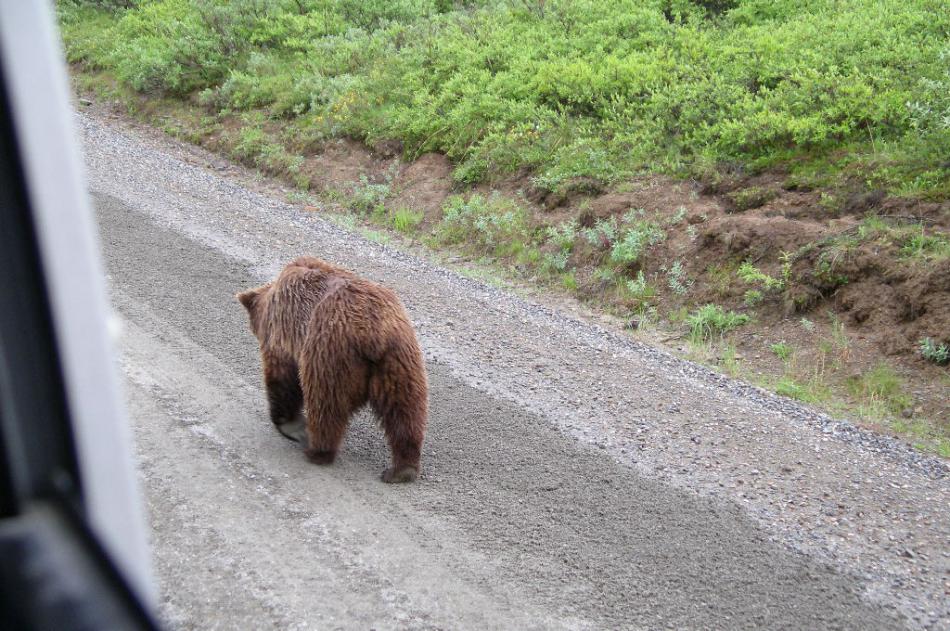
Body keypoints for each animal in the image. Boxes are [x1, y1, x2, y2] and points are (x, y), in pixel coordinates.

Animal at [237, 256, 428, 483]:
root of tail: (374, 332)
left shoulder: (283, 334)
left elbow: (282, 377)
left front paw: (288, 423)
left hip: (329, 355)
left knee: (325, 404)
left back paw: (317, 450)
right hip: (399, 362)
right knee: (405, 410)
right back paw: (402, 469)